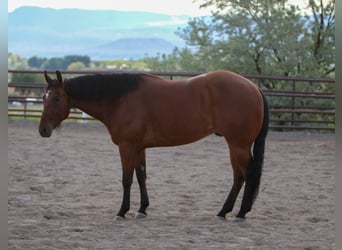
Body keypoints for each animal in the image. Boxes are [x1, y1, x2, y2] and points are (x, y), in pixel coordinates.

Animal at [39, 69, 268, 220]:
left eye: (57, 99)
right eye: (43, 98)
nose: (43, 130)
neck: (120, 99)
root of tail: (254, 87)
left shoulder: (127, 147)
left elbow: (126, 179)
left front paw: (122, 211)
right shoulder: (139, 148)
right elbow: (141, 176)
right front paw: (142, 209)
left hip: (238, 145)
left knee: (248, 175)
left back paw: (241, 213)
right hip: (234, 145)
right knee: (238, 177)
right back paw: (223, 211)